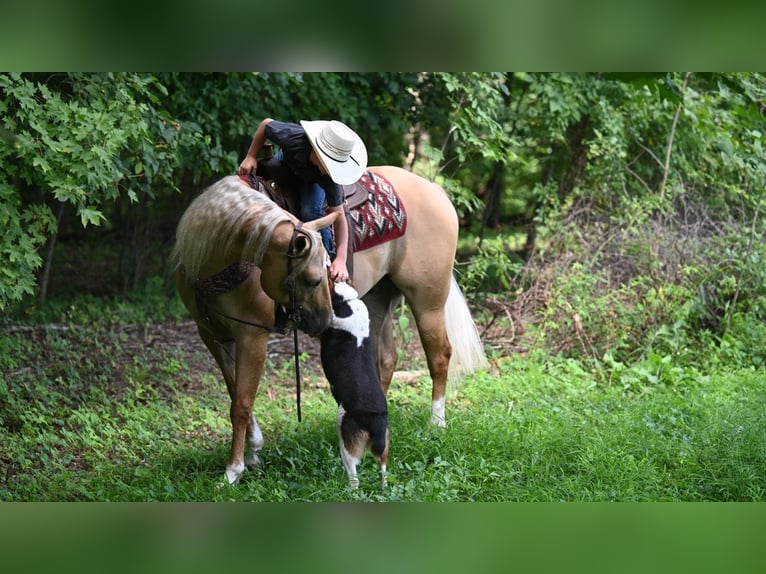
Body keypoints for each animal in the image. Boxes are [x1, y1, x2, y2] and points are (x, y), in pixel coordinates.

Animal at [320, 282, 390, 488]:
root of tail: (376, 420)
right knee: (383, 468)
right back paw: (384, 488)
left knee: (354, 477)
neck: (348, 300)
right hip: (384, 444)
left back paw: (348, 489)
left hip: (347, 444)